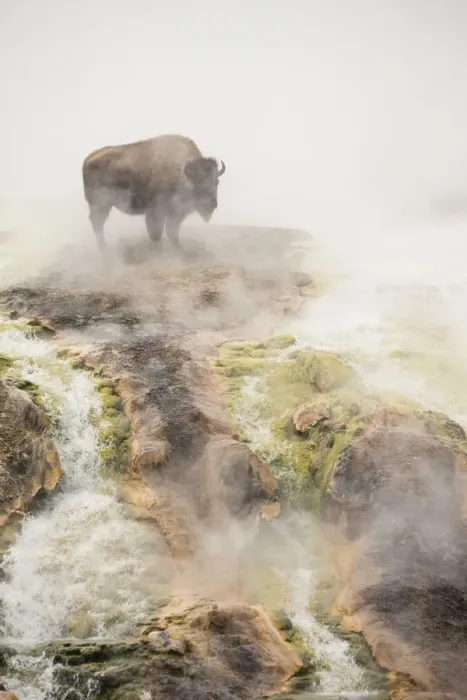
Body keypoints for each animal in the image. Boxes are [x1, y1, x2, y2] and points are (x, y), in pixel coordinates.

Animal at [82, 134, 226, 252]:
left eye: (216, 182)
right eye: (199, 181)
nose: (212, 203)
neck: (182, 172)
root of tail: (88, 159)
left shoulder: (176, 213)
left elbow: (172, 231)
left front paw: (179, 249)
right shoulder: (156, 211)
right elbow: (156, 232)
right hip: (101, 204)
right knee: (97, 223)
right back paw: (103, 249)